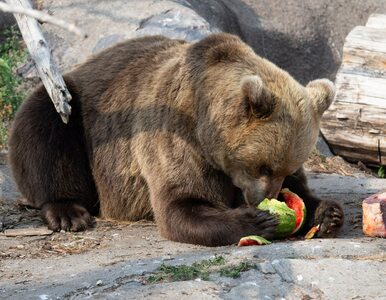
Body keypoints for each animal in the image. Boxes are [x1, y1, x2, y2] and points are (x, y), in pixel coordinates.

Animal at [7, 32, 342, 246]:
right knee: (45, 123)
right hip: (75, 104)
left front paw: (328, 213)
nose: (264, 198)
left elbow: (304, 193)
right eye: (264, 166)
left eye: (287, 168)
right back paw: (68, 212)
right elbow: (182, 202)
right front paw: (256, 221)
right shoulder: (174, 134)